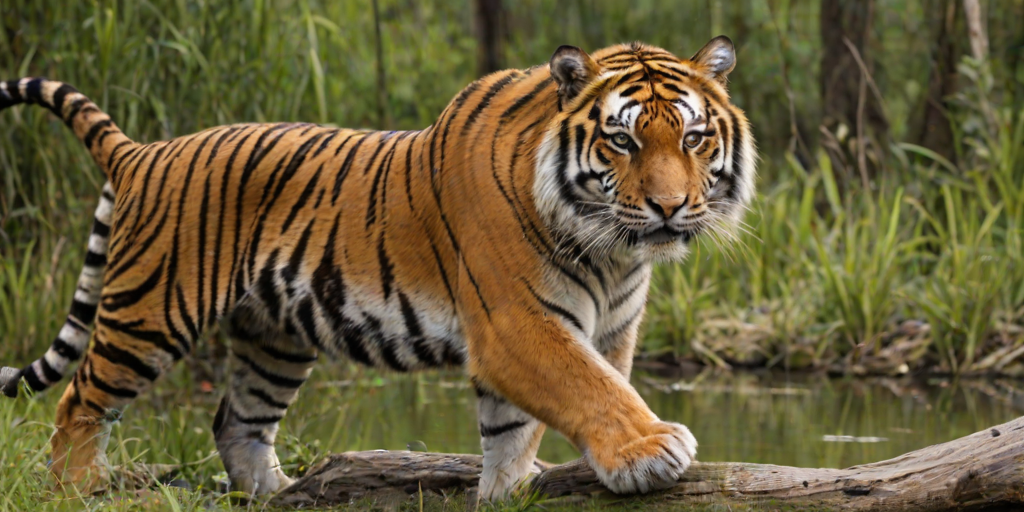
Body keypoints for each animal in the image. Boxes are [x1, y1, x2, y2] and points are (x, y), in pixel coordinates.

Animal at [0, 36, 755, 499]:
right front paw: (649, 449)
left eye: (693, 137)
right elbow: (593, 391)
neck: (610, 249)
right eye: (623, 142)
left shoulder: (610, 328)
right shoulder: (516, 323)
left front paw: (510, 490)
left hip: (273, 338)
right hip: (151, 312)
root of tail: (139, 151)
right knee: (78, 401)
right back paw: (75, 492)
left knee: (237, 423)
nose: (669, 207)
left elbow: (525, 422)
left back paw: (285, 496)